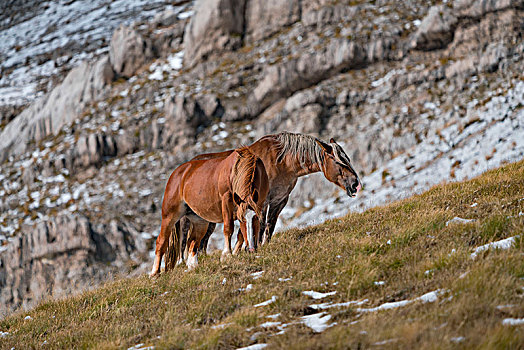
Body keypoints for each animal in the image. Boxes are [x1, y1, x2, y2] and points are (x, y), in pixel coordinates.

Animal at [149, 146, 268, 276]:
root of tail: (178, 173)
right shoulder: (226, 200)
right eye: (241, 220)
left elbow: (241, 233)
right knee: (161, 241)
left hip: (200, 221)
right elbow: (229, 228)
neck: (235, 172)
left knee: (192, 242)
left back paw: (193, 266)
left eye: (256, 218)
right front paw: (226, 255)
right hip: (169, 215)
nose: (251, 249)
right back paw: (155, 273)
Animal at [168, 131, 360, 266]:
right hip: (187, 218)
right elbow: (257, 226)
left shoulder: (279, 200)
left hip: (208, 218)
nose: (355, 184)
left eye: (348, 159)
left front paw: (260, 246)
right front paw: (250, 248)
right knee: (184, 240)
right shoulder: (261, 201)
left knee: (202, 242)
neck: (282, 161)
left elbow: (269, 225)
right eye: (338, 162)